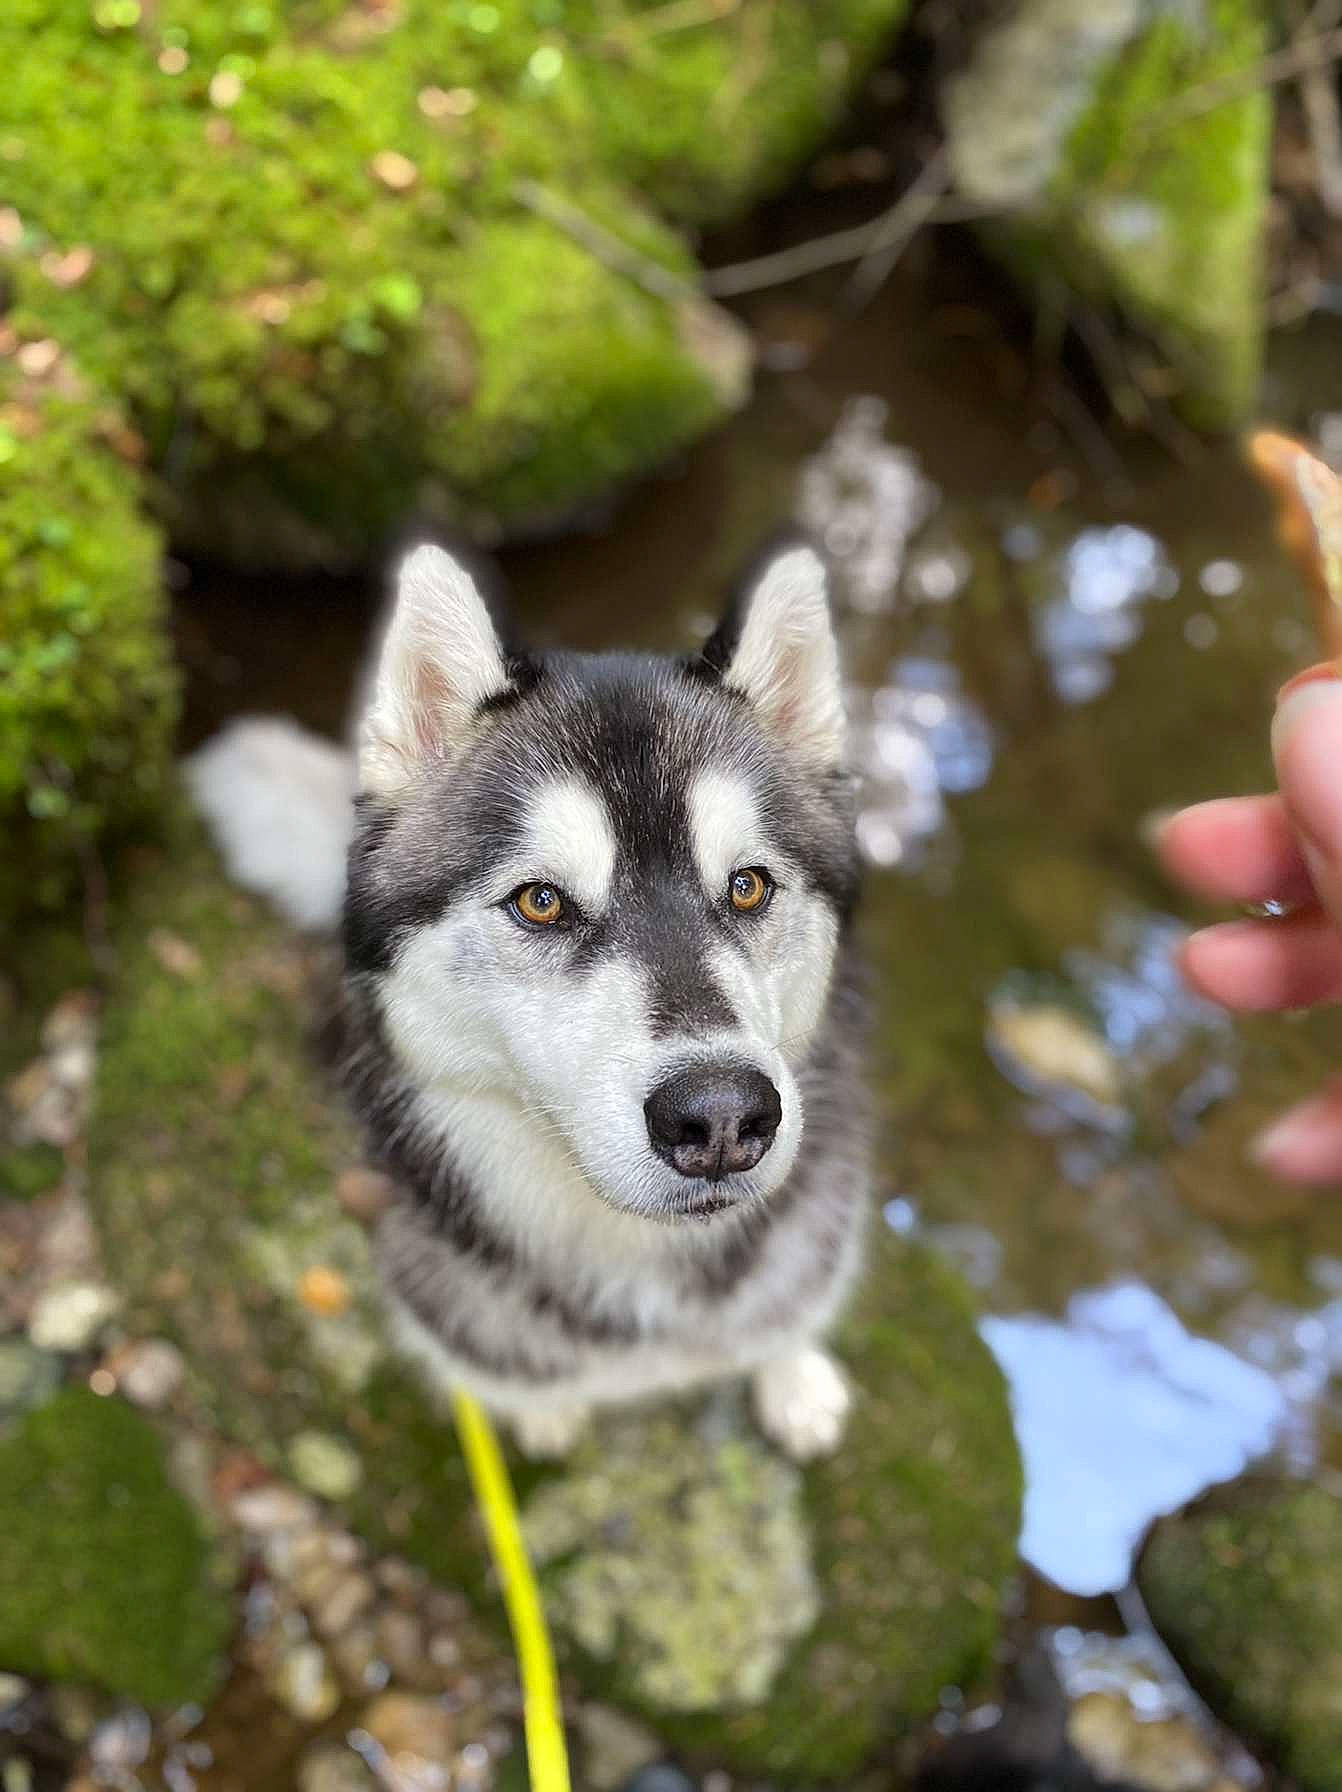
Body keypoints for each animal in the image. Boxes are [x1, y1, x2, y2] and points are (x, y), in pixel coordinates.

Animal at [191, 541, 872, 1460]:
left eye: (748, 885)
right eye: (540, 901)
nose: (723, 1117)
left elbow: (786, 1316)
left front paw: (791, 1375)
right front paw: (542, 1413)